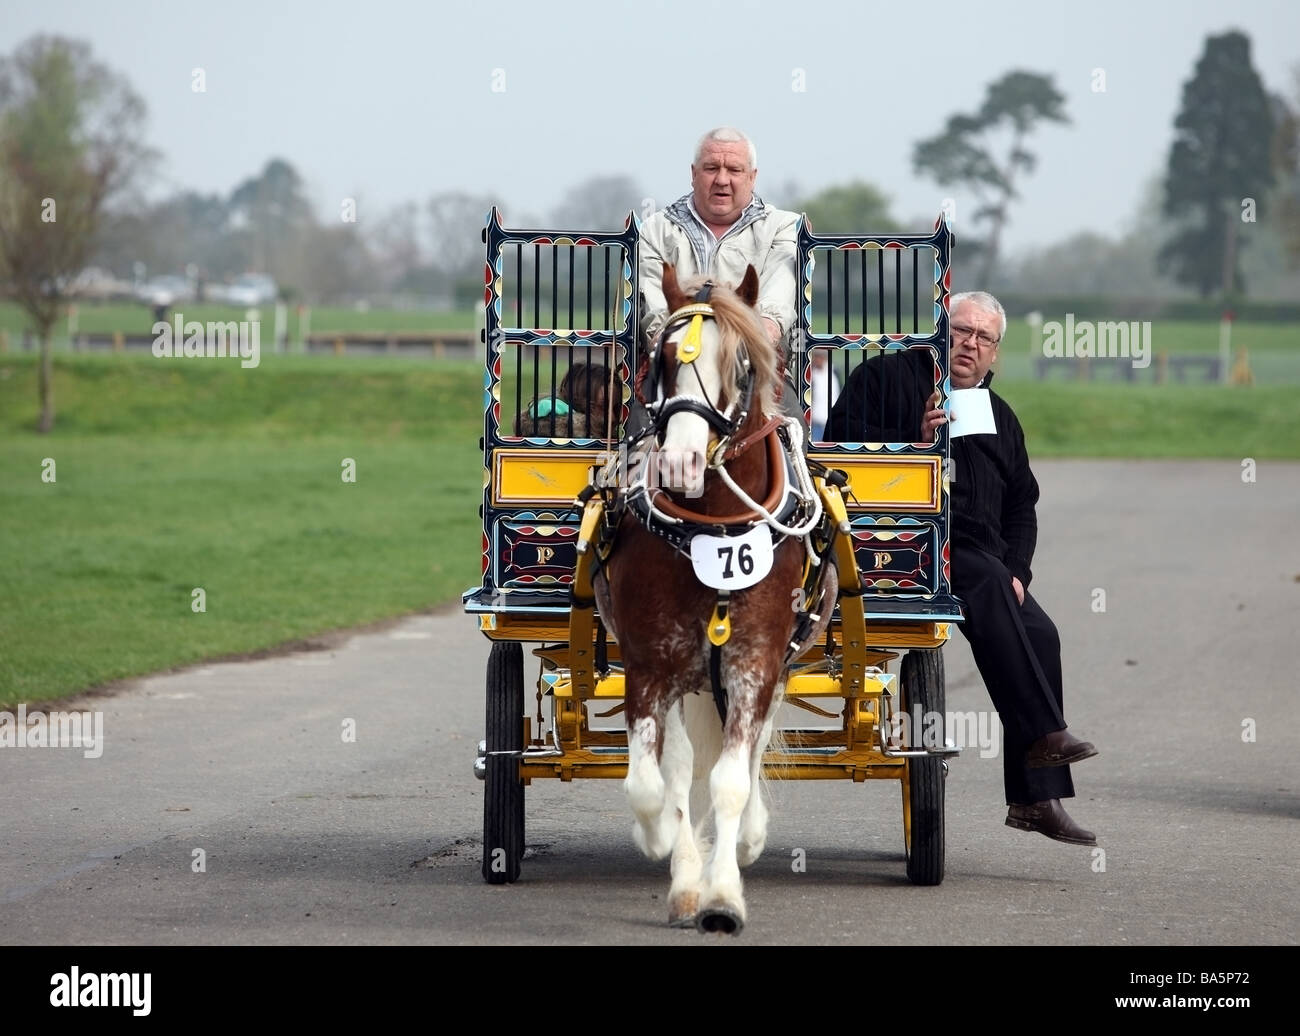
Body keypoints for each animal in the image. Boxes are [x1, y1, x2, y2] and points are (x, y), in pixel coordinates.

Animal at [592, 263, 837, 934]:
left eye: (740, 364)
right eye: (662, 356)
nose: (680, 461)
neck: (715, 524)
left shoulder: (755, 661)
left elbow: (730, 779)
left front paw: (723, 895)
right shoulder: (649, 664)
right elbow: (656, 784)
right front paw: (670, 856)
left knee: (748, 754)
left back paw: (745, 839)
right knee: (678, 767)